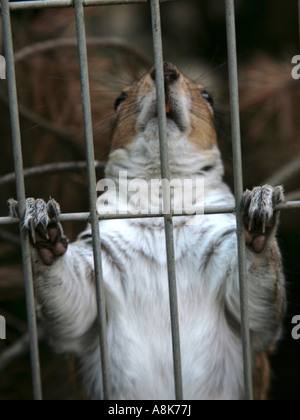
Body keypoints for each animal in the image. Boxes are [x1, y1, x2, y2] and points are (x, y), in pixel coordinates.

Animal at [8, 62, 286, 400]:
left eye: (208, 97)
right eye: (119, 99)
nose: (165, 70)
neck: (161, 193)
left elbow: (256, 312)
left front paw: (258, 212)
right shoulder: (98, 263)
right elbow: (74, 311)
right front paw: (41, 225)